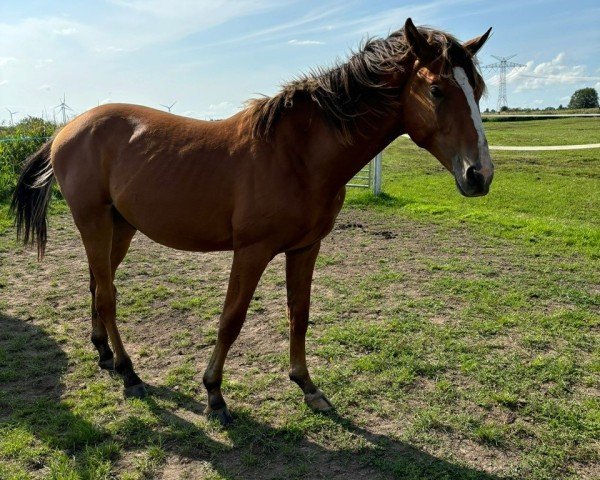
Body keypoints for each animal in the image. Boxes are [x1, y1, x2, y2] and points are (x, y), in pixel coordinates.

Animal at [11, 18, 492, 426]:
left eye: (479, 90)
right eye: (436, 90)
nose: (480, 175)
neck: (298, 155)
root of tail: (66, 130)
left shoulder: (306, 247)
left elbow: (300, 313)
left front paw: (307, 386)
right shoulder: (252, 251)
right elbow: (232, 318)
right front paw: (214, 395)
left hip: (121, 226)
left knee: (98, 284)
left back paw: (105, 355)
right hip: (93, 222)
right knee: (108, 295)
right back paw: (130, 373)